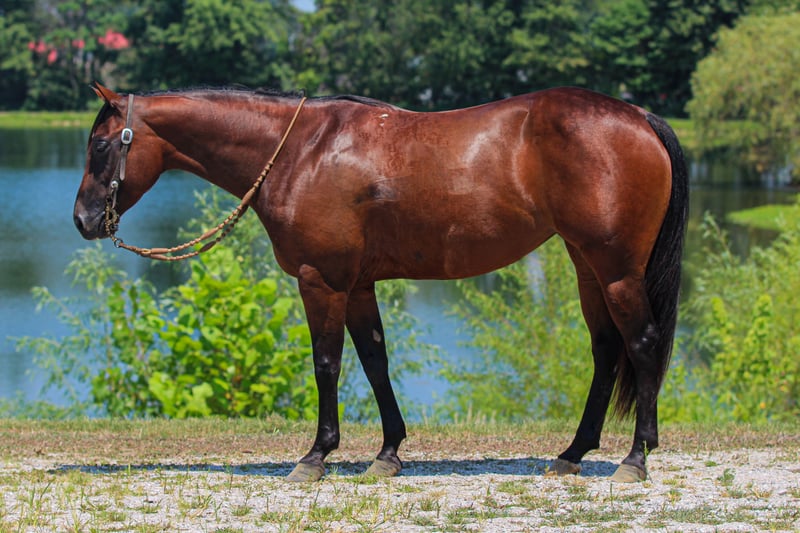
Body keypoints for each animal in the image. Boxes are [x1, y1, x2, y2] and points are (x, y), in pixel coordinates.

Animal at [74, 82, 687, 483]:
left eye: (100, 146)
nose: (82, 221)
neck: (304, 151)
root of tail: (639, 117)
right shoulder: (358, 286)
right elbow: (375, 361)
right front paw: (388, 453)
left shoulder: (321, 282)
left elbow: (327, 364)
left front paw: (316, 456)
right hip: (588, 266)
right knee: (606, 351)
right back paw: (573, 453)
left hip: (617, 269)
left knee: (641, 344)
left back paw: (635, 459)